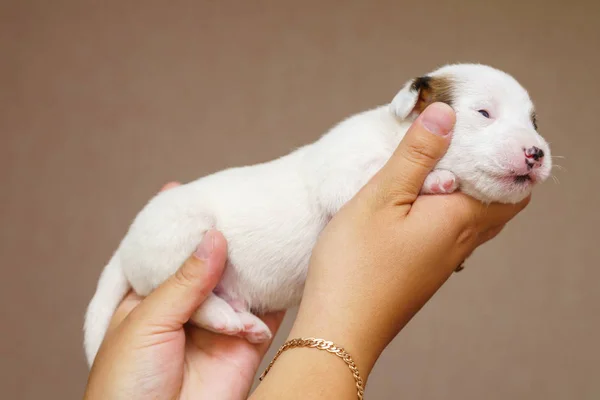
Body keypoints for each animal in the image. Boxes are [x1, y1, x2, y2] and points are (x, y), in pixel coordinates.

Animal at [82, 62, 552, 366]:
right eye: (484, 112)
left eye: (534, 121)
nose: (537, 153)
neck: (394, 135)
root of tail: (125, 248)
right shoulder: (346, 174)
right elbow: (375, 175)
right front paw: (436, 180)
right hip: (181, 245)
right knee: (198, 304)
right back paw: (231, 319)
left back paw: (242, 322)